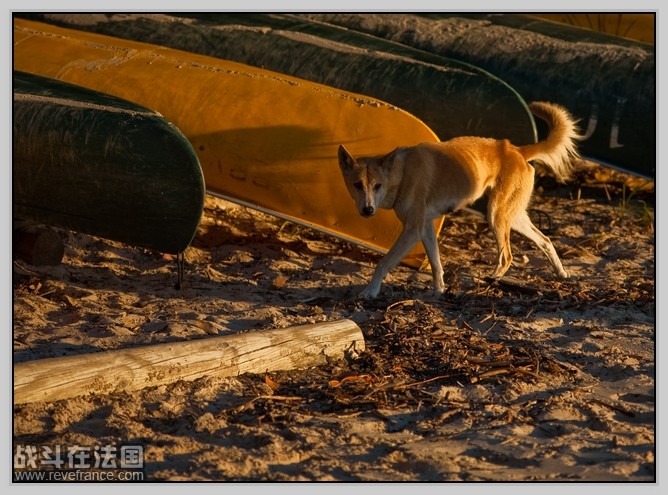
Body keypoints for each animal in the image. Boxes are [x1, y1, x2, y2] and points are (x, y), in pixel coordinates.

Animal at [340, 101, 580, 298]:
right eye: (357, 185)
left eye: (377, 185)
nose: (368, 210)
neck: (402, 172)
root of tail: (516, 149)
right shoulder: (425, 227)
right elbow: (436, 264)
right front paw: (439, 290)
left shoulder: (412, 230)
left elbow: (384, 262)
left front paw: (370, 291)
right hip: (512, 216)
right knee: (545, 240)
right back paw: (561, 273)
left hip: (496, 215)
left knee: (507, 256)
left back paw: (490, 281)